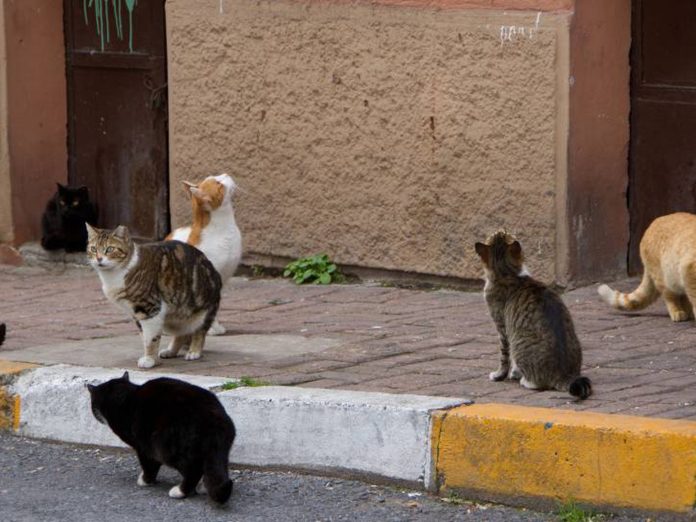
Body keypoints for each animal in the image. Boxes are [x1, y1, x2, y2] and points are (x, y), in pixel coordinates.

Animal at [85, 222, 220, 366]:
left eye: (110, 249)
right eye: (93, 249)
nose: (99, 258)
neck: (115, 275)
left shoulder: (150, 309)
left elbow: (151, 338)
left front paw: (149, 359)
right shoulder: (136, 313)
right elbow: (144, 337)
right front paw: (150, 356)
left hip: (204, 311)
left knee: (199, 331)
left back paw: (194, 351)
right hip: (174, 317)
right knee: (181, 333)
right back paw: (171, 351)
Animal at [86, 370, 234, 500]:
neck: (125, 397)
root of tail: (212, 418)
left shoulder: (143, 446)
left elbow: (149, 465)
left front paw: (145, 480)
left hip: (167, 447)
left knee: (193, 470)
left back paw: (180, 491)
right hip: (218, 450)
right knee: (213, 468)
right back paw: (203, 486)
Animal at [478, 229, 592, 398]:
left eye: (505, 233)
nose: (503, 228)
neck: (507, 273)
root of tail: (563, 375)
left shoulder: (502, 328)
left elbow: (504, 358)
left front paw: (500, 375)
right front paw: (514, 373)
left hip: (518, 344)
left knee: (537, 383)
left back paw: (526, 381)